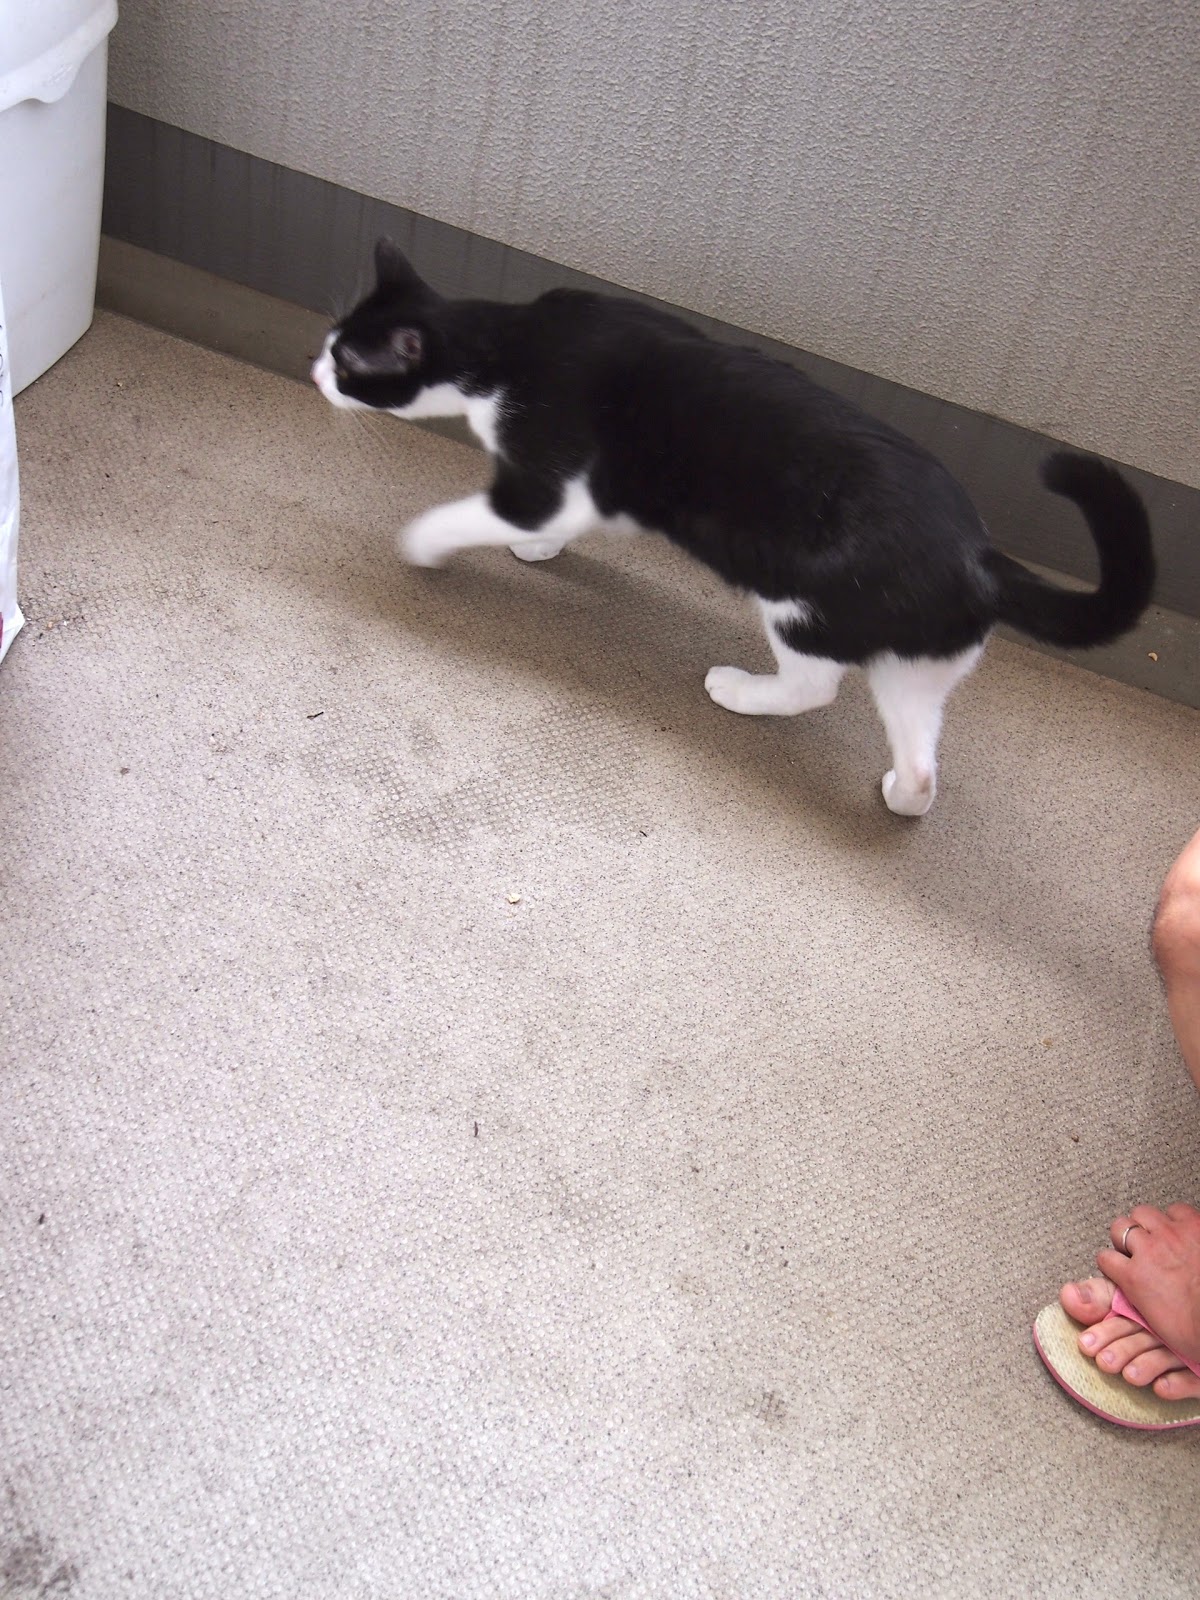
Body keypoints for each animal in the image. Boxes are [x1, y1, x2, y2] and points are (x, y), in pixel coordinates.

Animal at [312, 239, 1155, 816]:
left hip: (804, 607)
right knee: (921, 763)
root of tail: (982, 559)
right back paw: (899, 793)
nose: (316, 372)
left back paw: (742, 692)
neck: (508, 347)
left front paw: (422, 544)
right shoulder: (584, 493)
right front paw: (539, 550)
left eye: (348, 364)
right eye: (330, 344)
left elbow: (472, 515)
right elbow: (570, 519)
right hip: (915, 664)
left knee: (814, 686)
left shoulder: (541, 472)